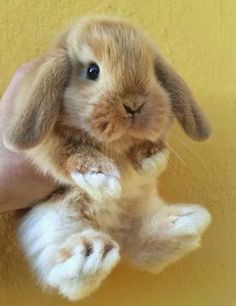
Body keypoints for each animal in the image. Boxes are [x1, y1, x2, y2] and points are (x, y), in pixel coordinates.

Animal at [2, 15, 211, 300]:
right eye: (92, 71)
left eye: (151, 72)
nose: (134, 104)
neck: (115, 146)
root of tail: (113, 229)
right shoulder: (45, 145)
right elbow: (63, 151)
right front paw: (102, 178)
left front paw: (151, 159)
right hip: (51, 222)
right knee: (64, 271)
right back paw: (90, 253)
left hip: (141, 208)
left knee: (139, 245)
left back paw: (185, 222)